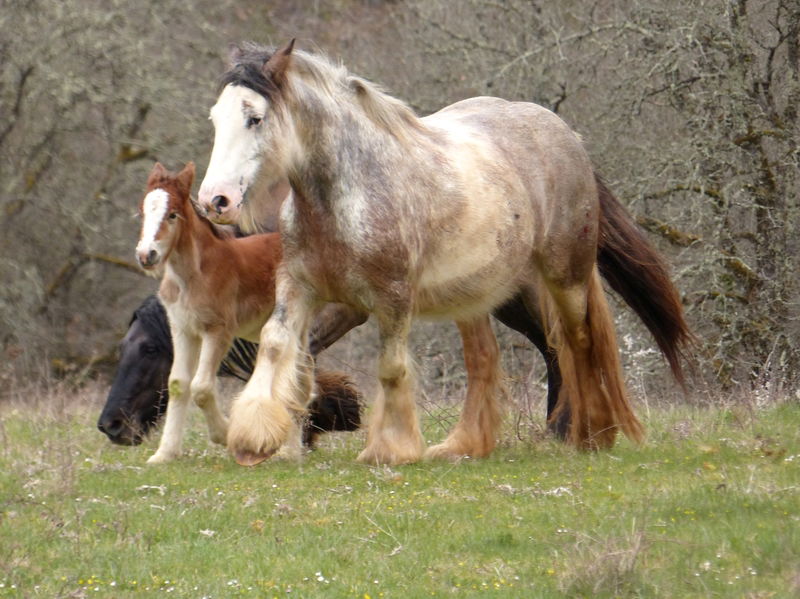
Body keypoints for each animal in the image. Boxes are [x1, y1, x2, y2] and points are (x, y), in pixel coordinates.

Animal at [134, 162, 362, 462]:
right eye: (143, 211)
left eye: (172, 215)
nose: (146, 255)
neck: (194, 273)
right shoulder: (182, 329)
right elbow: (178, 384)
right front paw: (164, 454)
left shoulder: (219, 331)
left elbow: (201, 387)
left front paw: (225, 433)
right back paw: (291, 450)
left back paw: (287, 451)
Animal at [197, 42, 692, 468]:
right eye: (216, 119)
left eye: (255, 118)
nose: (214, 200)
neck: (346, 193)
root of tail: (565, 133)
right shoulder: (298, 287)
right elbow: (277, 345)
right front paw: (257, 438)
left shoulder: (389, 299)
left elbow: (390, 368)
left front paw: (390, 449)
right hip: (475, 293)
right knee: (486, 359)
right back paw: (466, 445)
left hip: (563, 276)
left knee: (576, 341)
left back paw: (590, 434)